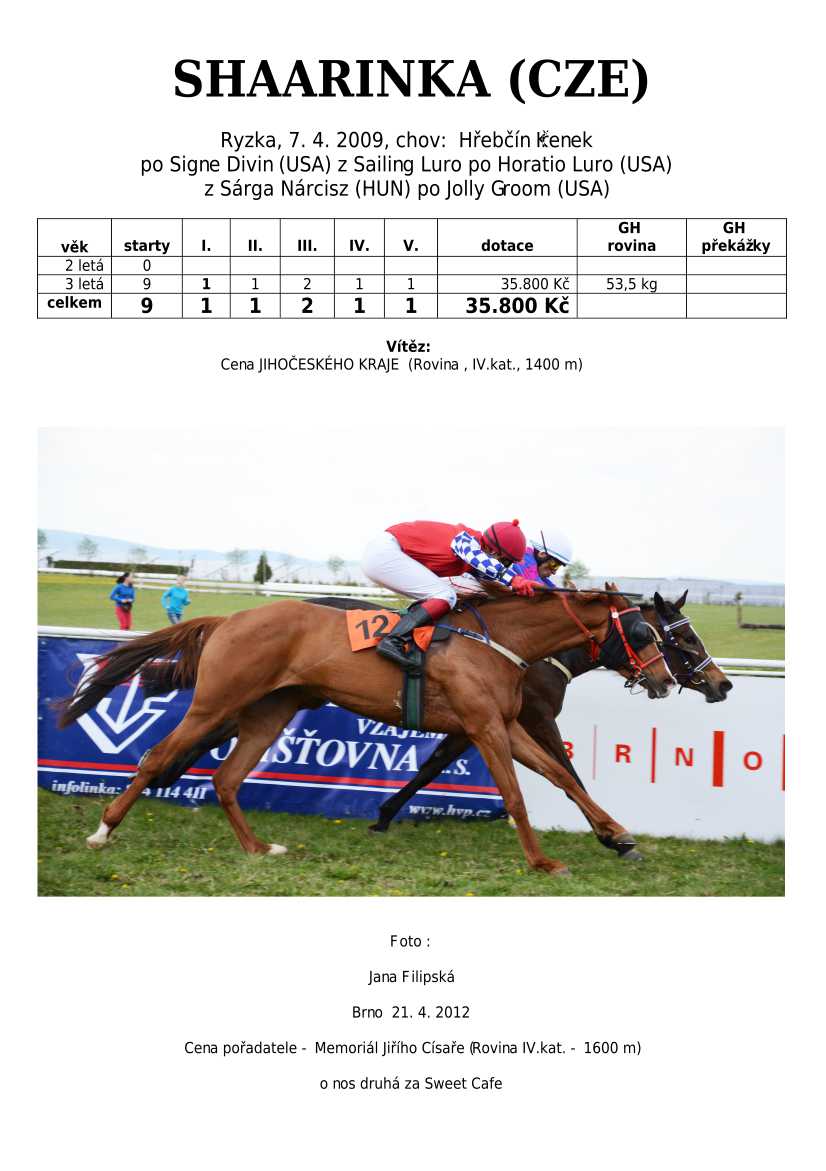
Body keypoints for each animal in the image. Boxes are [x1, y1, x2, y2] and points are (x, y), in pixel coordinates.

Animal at [57, 587, 675, 877]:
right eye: (645, 633)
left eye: (666, 636)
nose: (667, 681)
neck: (501, 641)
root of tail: (228, 619)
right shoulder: (484, 727)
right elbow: (518, 795)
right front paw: (544, 861)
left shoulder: (506, 724)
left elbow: (562, 778)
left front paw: (619, 834)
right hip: (217, 701)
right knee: (157, 757)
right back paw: (103, 831)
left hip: (270, 709)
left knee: (227, 777)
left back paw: (259, 847)